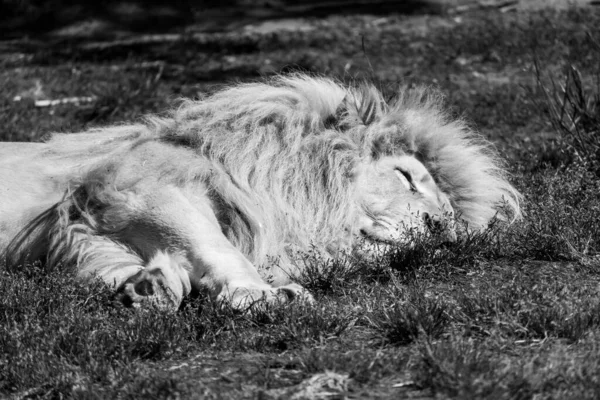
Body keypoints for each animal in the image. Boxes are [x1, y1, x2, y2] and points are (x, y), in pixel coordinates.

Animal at [0, 75, 520, 310]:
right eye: (406, 177)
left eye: (451, 216)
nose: (441, 228)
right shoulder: (136, 190)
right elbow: (217, 248)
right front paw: (261, 294)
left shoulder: (81, 230)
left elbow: (108, 266)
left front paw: (145, 288)